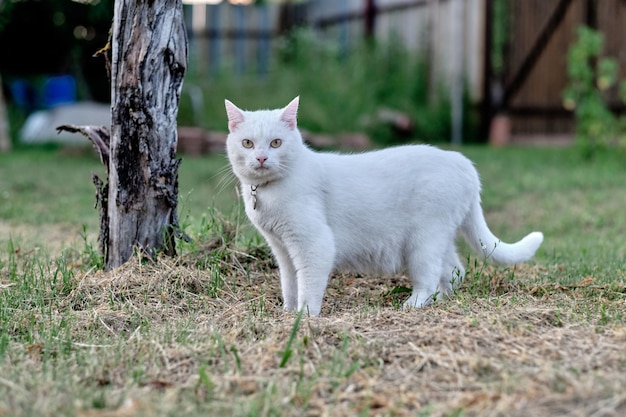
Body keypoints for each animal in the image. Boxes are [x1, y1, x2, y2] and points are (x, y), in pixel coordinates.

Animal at [223, 96, 540, 314]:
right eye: (248, 143)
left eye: (276, 143)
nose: (261, 158)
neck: (266, 193)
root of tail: (463, 162)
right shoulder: (282, 249)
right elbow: (290, 283)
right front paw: (289, 312)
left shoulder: (314, 244)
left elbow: (309, 283)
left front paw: (306, 315)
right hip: (440, 238)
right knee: (454, 271)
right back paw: (440, 300)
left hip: (423, 241)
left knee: (429, 277)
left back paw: (414, 304)